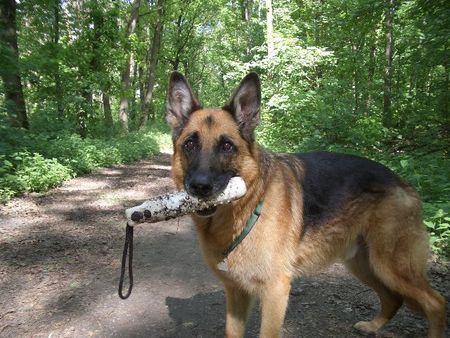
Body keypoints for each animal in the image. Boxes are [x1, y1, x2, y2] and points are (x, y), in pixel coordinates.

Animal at [166, 72, 446, 336]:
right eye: (190, 144)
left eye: (226, 146)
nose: (200, 186)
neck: (250, 205)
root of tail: (403, 182)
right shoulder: (236, 292)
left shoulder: (275, 292)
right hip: (364, 264)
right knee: (393, 297)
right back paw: (373, 325)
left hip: (391, 265)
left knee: (436, 303)